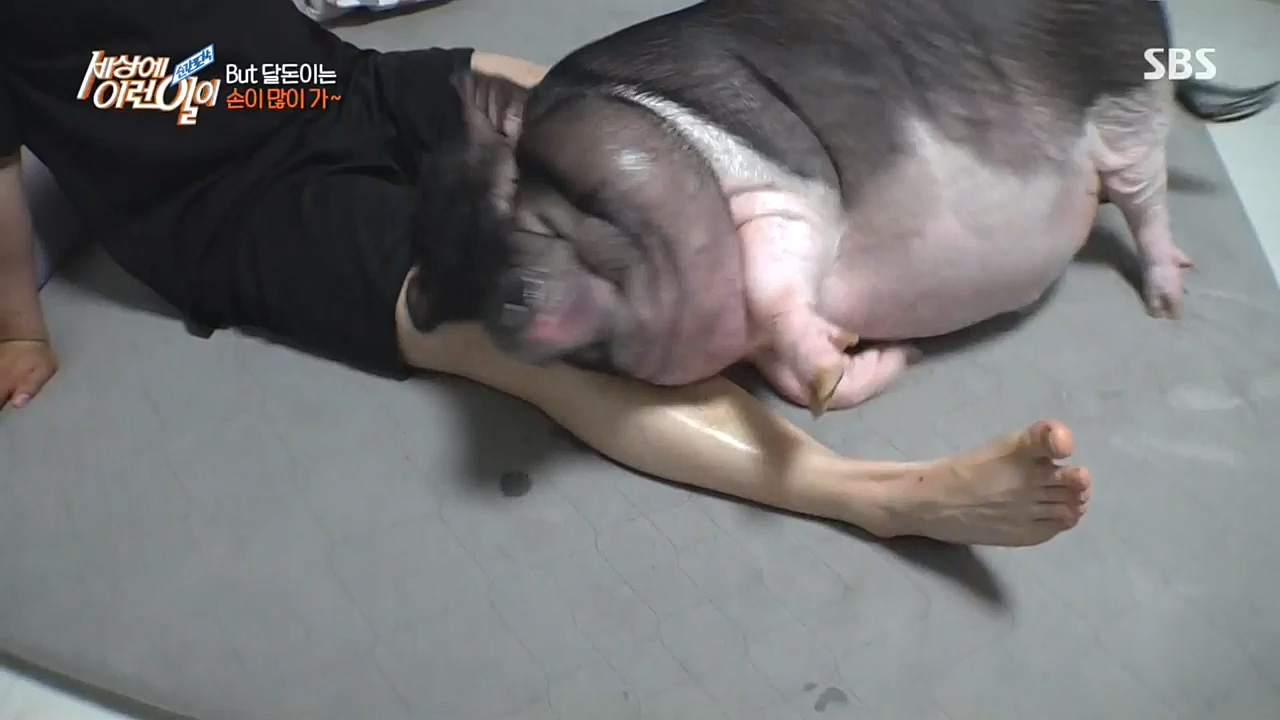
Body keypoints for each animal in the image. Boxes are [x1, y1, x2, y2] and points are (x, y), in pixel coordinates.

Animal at [409, 0, 1276, 416]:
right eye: (460, 273)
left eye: (512, 194)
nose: (506, 316)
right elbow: (782, 360)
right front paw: (872, 357)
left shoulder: (781, 182)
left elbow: (772, 292)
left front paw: (836, 365)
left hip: (1127, 100)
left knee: (1144, 194)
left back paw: (1169, 302)